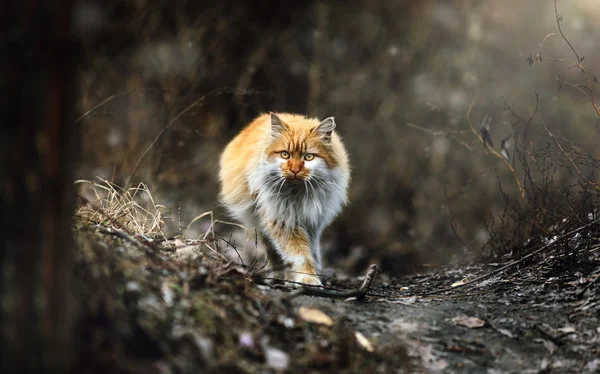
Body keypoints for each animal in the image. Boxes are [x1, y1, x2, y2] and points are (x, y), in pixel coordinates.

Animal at [219, 112, 352, 284]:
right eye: (285, 154)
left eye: (309, 157)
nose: (294, 170)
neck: (298, 194)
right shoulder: (283, 221)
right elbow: (300, 256)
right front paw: (308, 278)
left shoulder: (313, 223)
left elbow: (311, 253)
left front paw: (309, 275)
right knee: (272, 252)